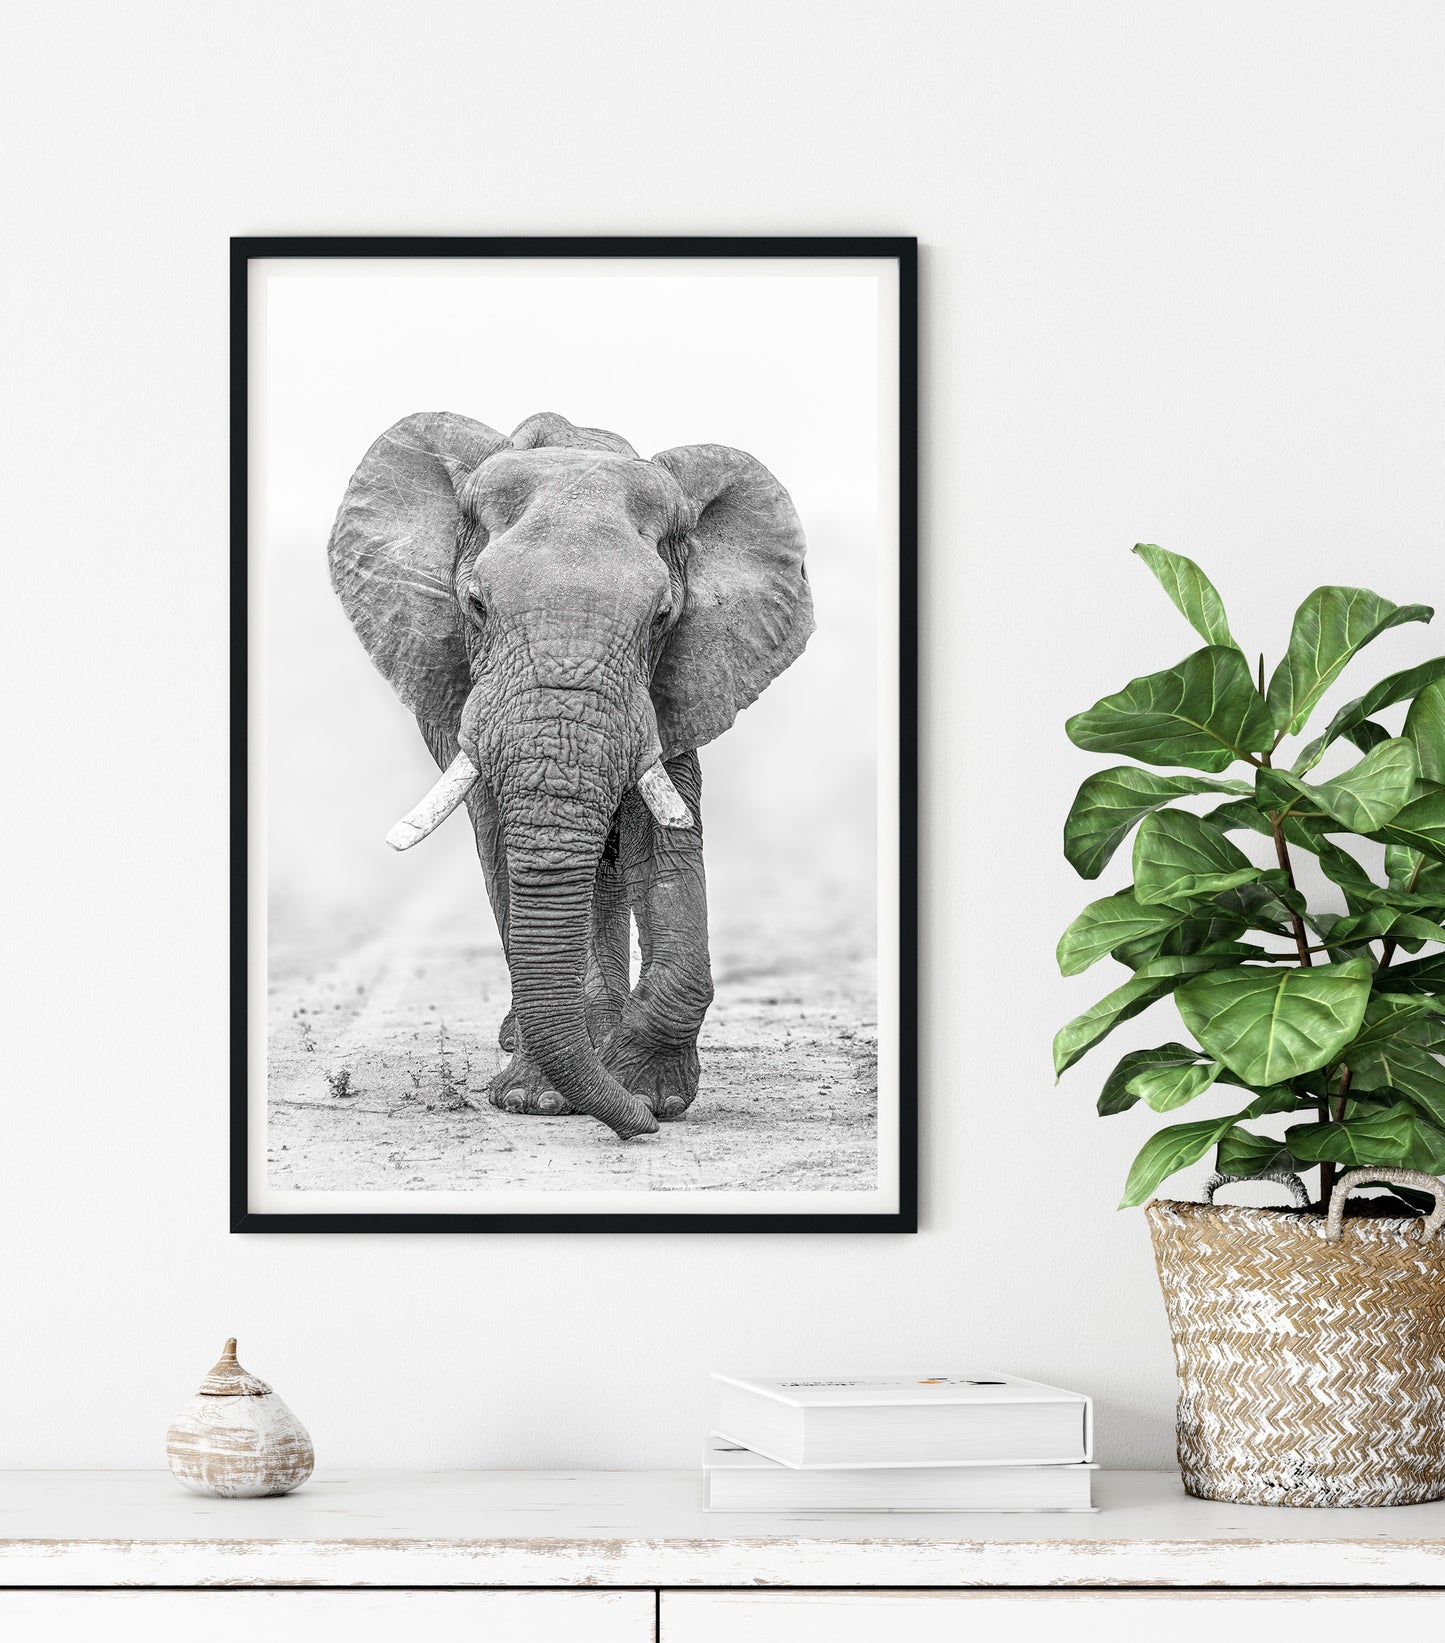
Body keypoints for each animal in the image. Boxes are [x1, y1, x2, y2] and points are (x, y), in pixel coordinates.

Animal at [328, 410, 813, 1140]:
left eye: (663, 616)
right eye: (475, 605)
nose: (637, 1127)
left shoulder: (677, 680)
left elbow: (661, 843)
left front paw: (646, 1091)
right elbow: (509, 844)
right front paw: (542, 1099)